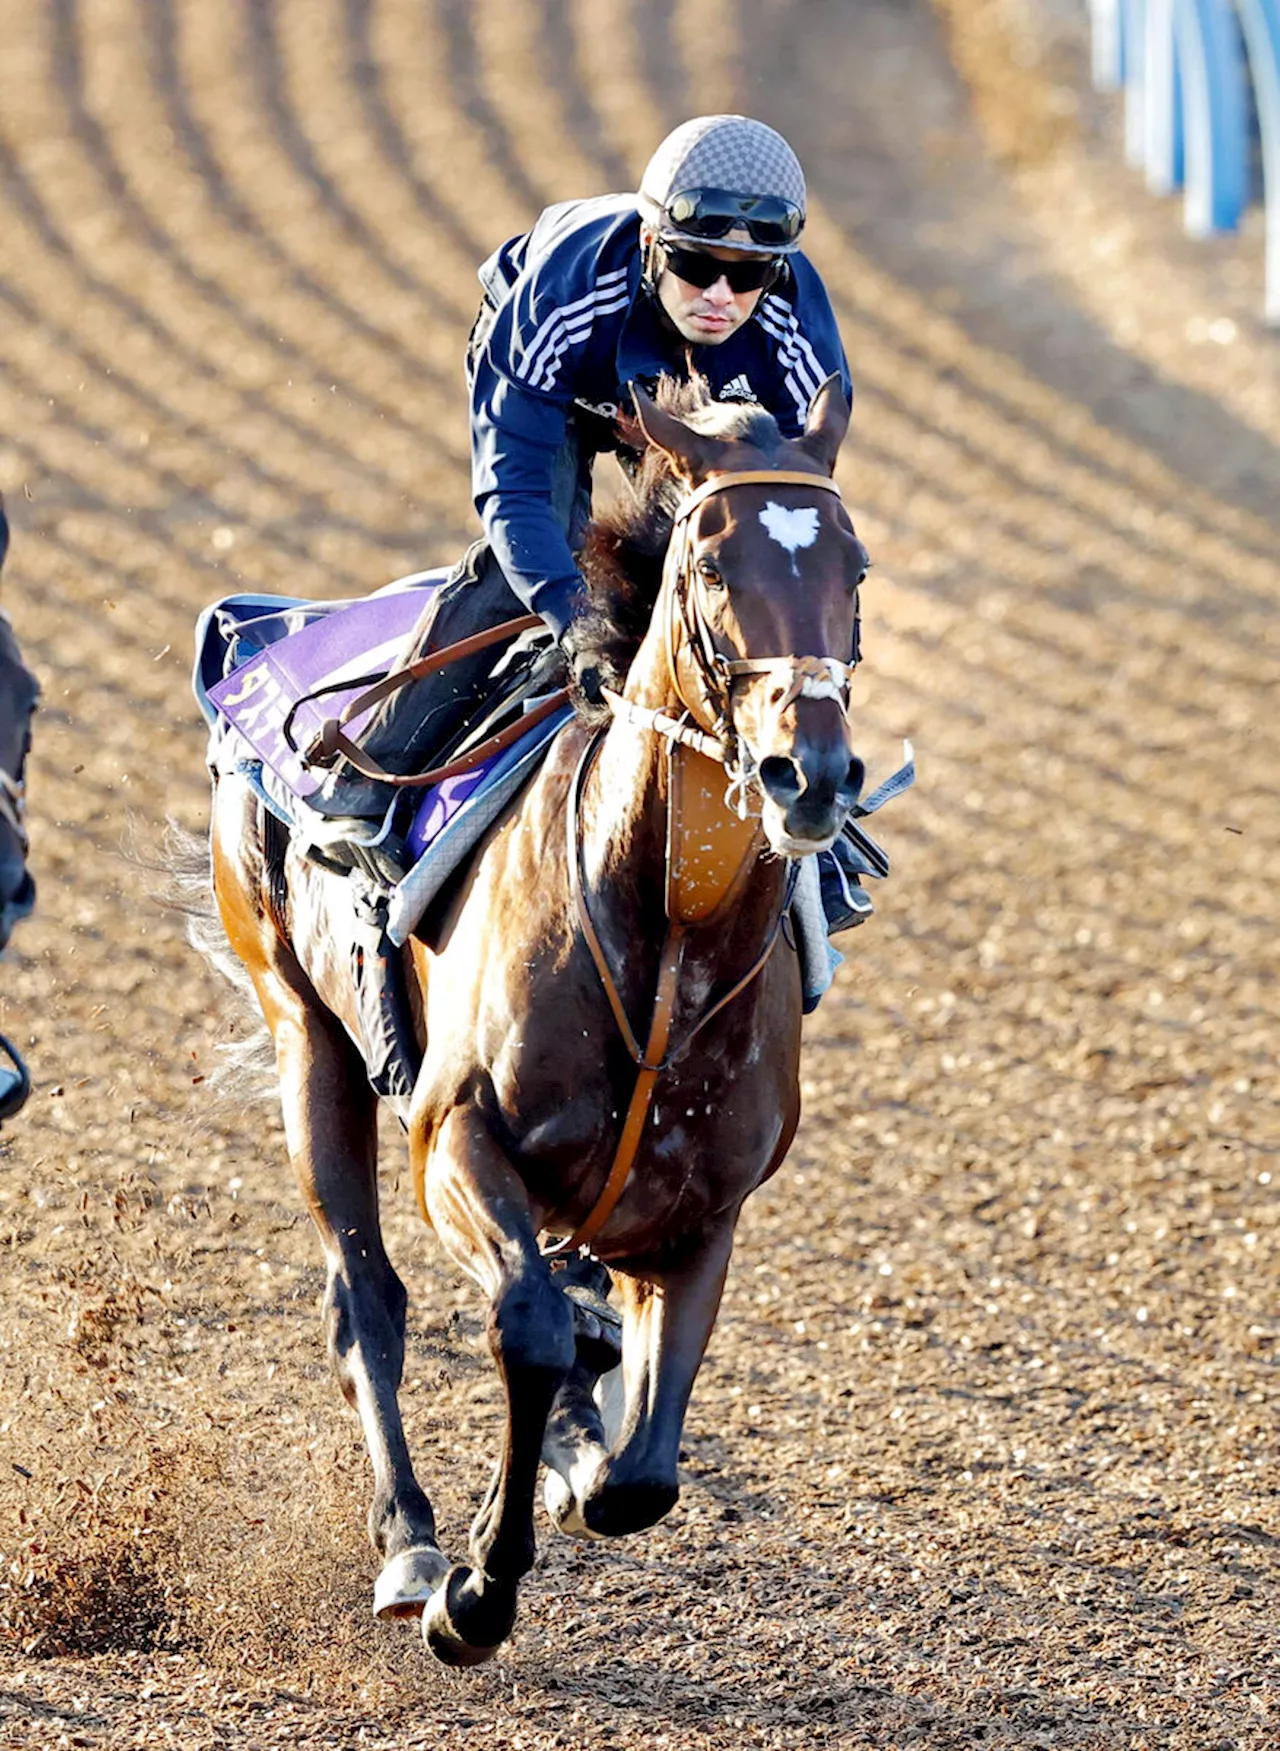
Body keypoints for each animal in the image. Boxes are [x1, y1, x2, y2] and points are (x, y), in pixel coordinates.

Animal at [203, 376, 872, 1659]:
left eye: (852, 566)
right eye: (711, 565)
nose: (807, 773)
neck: (661, 936)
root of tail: (262, 626)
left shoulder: (704, 1211)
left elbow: (640, 1472)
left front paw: (577, 1458)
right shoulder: (454, 1139)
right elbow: (526, 1327)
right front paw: (475, 1587)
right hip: (304, 1028)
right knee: (366, 1300)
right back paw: (413, 1542)